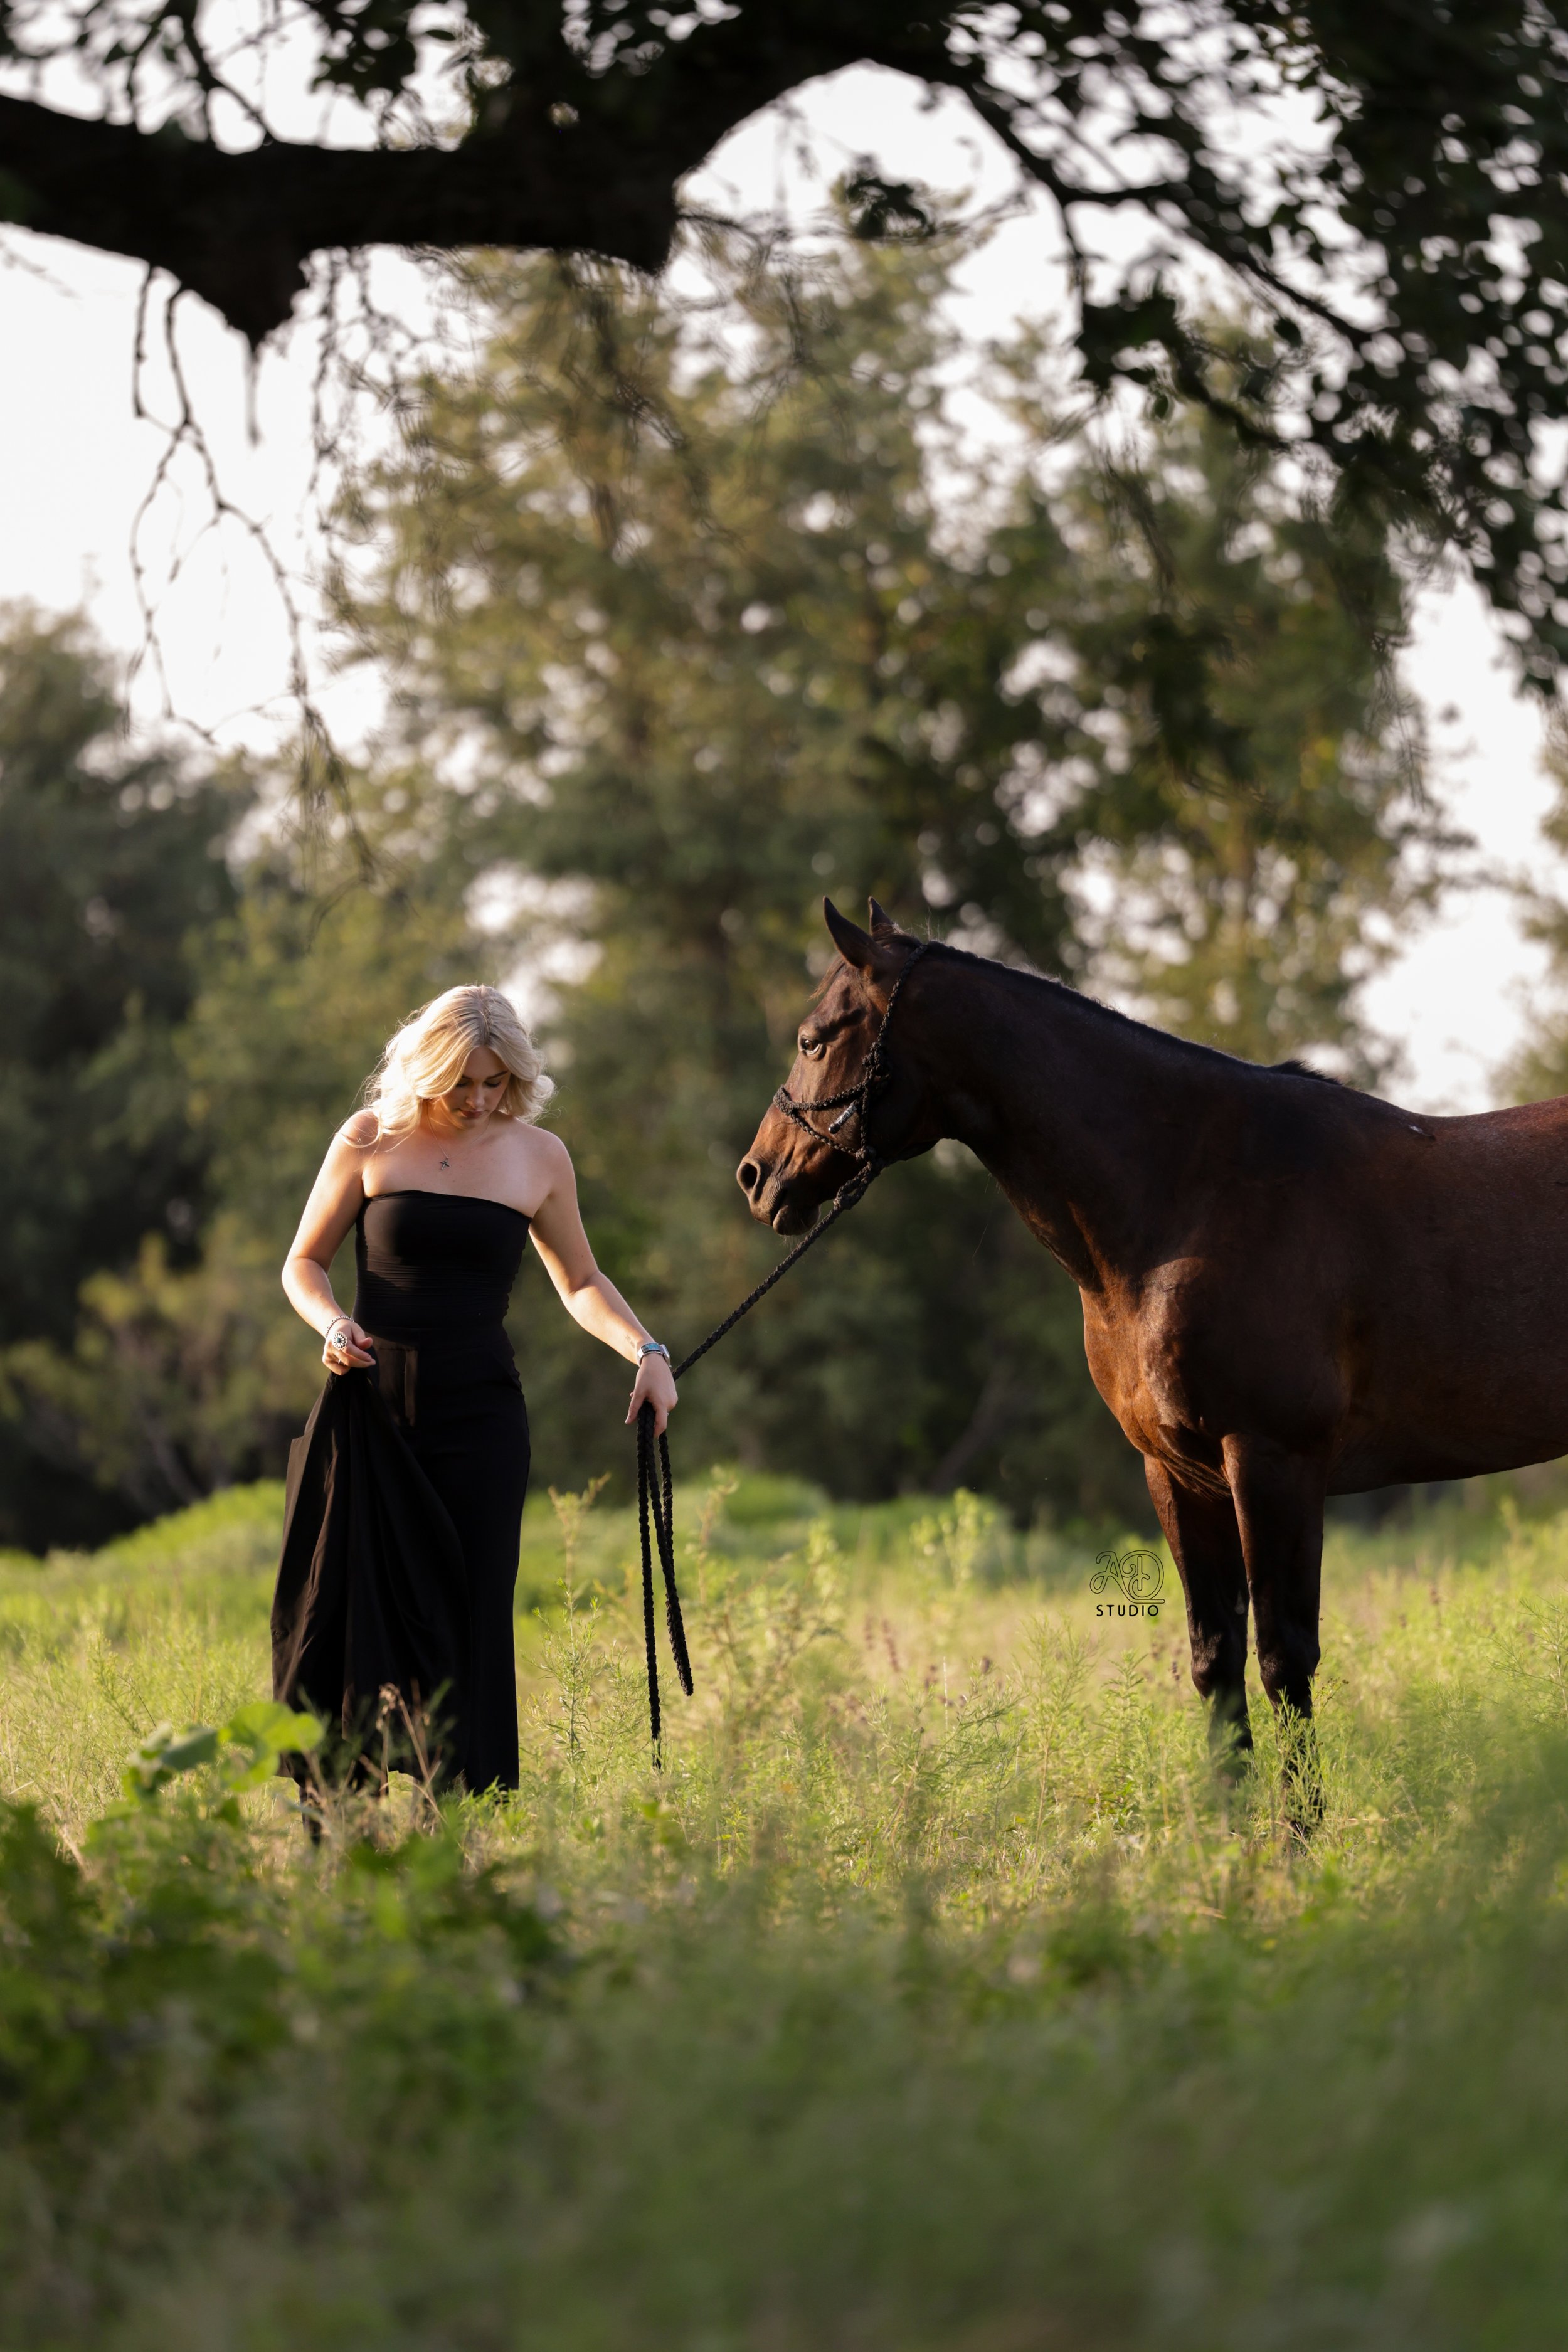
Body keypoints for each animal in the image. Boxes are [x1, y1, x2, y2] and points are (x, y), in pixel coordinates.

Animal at [737, 897, 1568, 1774]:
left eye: (813, 1037)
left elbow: (1284, 1661)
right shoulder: (1177, 1473)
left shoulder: (1273, 1460)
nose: (756, 1176)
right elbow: (1216, 1662)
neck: (1187, 1198)